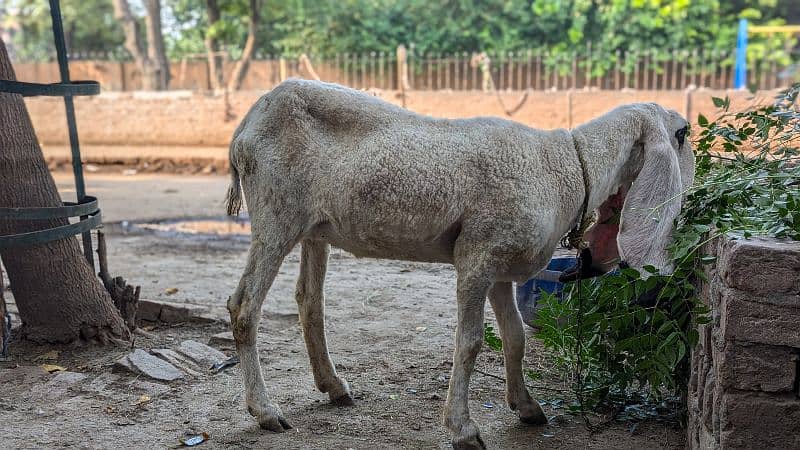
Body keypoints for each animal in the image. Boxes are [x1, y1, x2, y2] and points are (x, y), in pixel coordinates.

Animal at [225, 79, 692, 448]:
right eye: (683, 133)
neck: (570, 167)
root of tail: (251, 118)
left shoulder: (502, 264)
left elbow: (515, 338)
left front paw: (527, 407)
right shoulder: (477, 254)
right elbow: (469, 342)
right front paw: (463, 429)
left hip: (314, 227)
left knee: (309, 301)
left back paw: (334, 386)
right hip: (276, 213)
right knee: (244, 307)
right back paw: (265, 411)